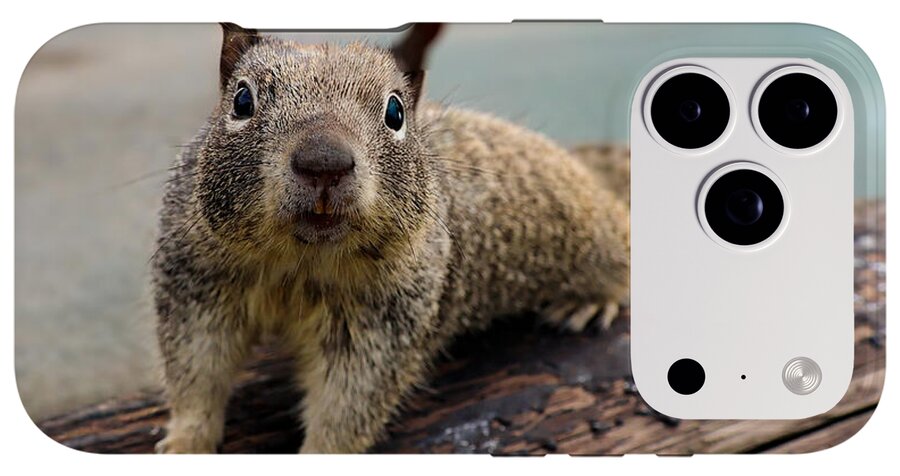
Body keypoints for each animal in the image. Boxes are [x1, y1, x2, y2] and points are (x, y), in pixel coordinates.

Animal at [153, 23, 630, 454]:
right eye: (242, 100)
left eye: (395, 112)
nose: (324, 162)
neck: (301, 262)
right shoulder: (197, 285)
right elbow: (196, 373)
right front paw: (184, 443)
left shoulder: (383, 322)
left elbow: (348, 403)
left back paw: (589, 301)